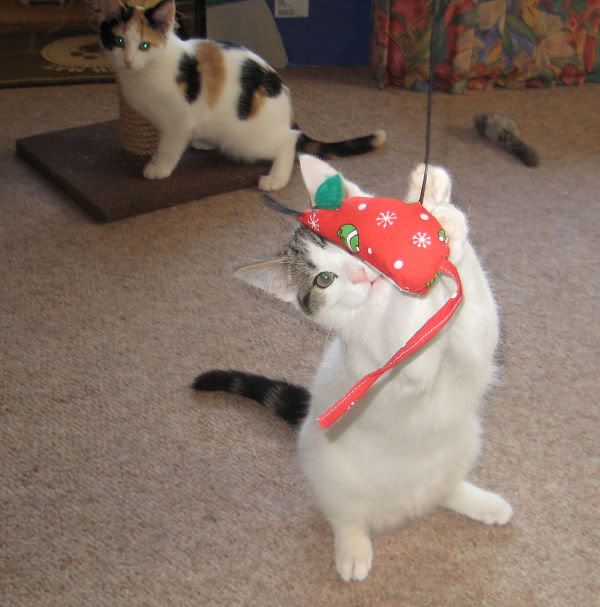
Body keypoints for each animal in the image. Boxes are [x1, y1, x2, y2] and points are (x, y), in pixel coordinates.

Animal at [97, 0, 386, 189]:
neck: (146, 72)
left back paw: (276, 179)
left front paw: (159, 166)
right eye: (119, 41)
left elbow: (169, 146)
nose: (129, 61)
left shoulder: (178, 120)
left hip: (244, 140)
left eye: (145, 45)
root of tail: (287, 109)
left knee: (289, 140)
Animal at [193, 156, 513, 581]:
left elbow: (479, 323)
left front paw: (434, 203)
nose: (363, 274)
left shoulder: (474, 347)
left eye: (353, 246)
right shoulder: (384, 364)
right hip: (324, 469)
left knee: (444, 489)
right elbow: (409, 348)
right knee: (343, 514)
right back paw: (353, 549)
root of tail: (410, 507)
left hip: (463, 444)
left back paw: (482, 503)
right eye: (324, 280)